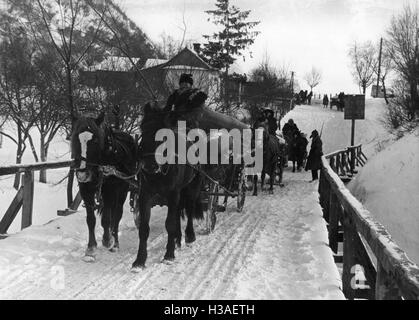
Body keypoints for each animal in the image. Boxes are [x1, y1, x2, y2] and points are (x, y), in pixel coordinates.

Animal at [71, 112, 138, 262]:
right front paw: (90, 249)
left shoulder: (110, 190)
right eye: (75, 138)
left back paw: (115, 243)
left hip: (123, 189)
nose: (82, 173)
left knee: (117, 214)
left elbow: (107, 218)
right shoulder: (86, 190)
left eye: (95, 141)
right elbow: (91, 220)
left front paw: (108, 240)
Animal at [131, 103, 203, 270]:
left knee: (189, 209)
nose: (150, 165)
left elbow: (169, 224)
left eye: (163, 135)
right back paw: (177, 239)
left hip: (191, 188)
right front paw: (140, 260)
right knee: (178, 212)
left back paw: (189, 236)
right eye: (143, 130)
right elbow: (144, 228)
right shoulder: (145, 194)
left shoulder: (173, 193)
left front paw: (169, 255)